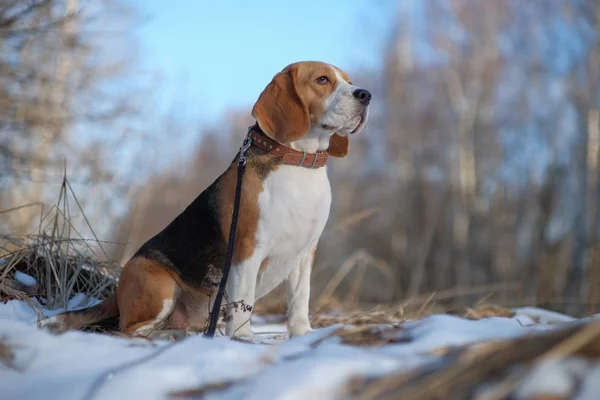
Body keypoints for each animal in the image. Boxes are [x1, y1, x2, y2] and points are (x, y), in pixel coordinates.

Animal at [42, 61, 370, 340]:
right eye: (322, 80)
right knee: (129, 330)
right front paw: (243, 338)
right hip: (159, 286)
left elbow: (300, 299)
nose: (365, 95)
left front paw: (302, 334)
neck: (298, 163)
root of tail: (119, 287)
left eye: (349, 80)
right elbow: (243, 302)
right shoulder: (247, 250)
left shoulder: (305, 252)